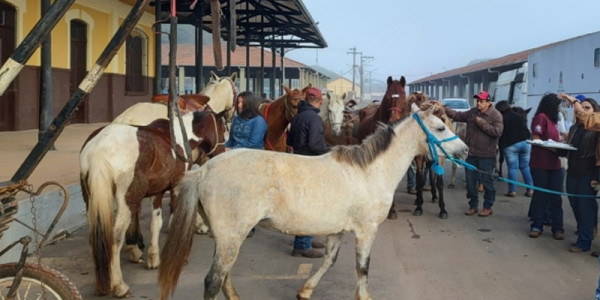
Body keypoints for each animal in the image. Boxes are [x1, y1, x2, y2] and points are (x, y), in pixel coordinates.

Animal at [81, 109, 226, 296]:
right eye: (223, 128)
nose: (222, 151)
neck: (180, 138)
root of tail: (99, 149)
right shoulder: (176, 187)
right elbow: (175, 219)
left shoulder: (157, 193)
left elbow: (155, 224)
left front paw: (153, 257)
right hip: (127, 198)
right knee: (115, 237)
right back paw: (119, 285)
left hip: (91, 200)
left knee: (96, 236)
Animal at [158, 103, 468, 300]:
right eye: (440, 128)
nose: (464, 151)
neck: (369, 172)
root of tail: (204, 170)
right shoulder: (366, 231)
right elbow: (363, 267)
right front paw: (363, 296)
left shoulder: (337, 230)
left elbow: (330, 261)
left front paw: (305, 291)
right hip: (231, 235)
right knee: (214, 281)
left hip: (225, 237)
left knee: (224, 276)